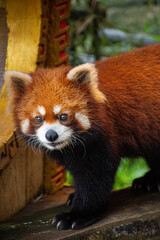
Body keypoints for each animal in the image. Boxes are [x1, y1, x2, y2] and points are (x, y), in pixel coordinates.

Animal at [4, 43, 160, 231]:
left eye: (63, 116)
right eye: (38, 119)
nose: (51, 135)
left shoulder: (102, 139)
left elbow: (94, 178)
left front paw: (78, 215)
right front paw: (75, 196)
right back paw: (151, 180)